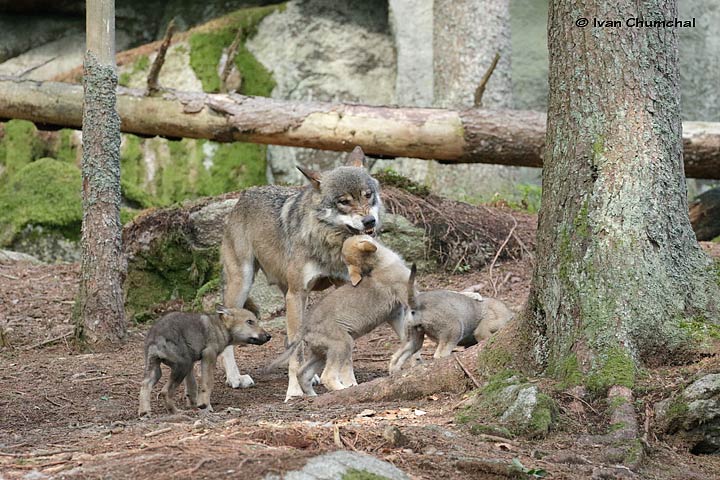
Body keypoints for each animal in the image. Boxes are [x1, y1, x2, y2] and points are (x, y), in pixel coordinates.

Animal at [138, 308, 270, 416]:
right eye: (250, 321)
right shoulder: (209, 355)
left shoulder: (192, 362)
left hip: (156, 368)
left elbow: (192, 385)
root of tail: (156, 337)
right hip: (182, 366)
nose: (269, 336)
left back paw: (144, 412)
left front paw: (194, 404)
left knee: (145, 385)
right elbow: (207, 383)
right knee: (165, 392)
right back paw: (176, 412)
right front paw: (205, 406)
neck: (219, 327)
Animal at [221, 146, 382, 398]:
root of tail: (245, 194)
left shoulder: (343, 286)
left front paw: (350, 383)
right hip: (244, 285)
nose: (369, 221)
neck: (330, 243)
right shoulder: (297, 293)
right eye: (343, 202)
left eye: (367, 195)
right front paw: (295, 392)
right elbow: (296, 353)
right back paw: (235, 377)